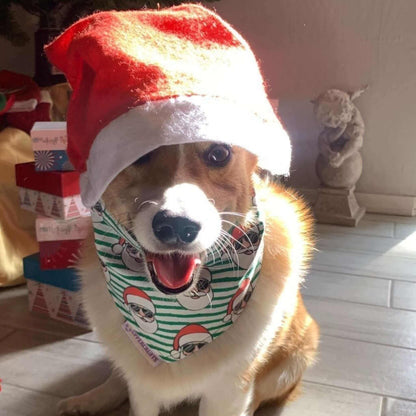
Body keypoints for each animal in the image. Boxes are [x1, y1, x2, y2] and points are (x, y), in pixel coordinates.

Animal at [57, 141, 318, 414]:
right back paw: (85, 401)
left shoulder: (228, 391)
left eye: (219, 153)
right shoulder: (143, 390)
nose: (177, 227)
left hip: (294, 357)